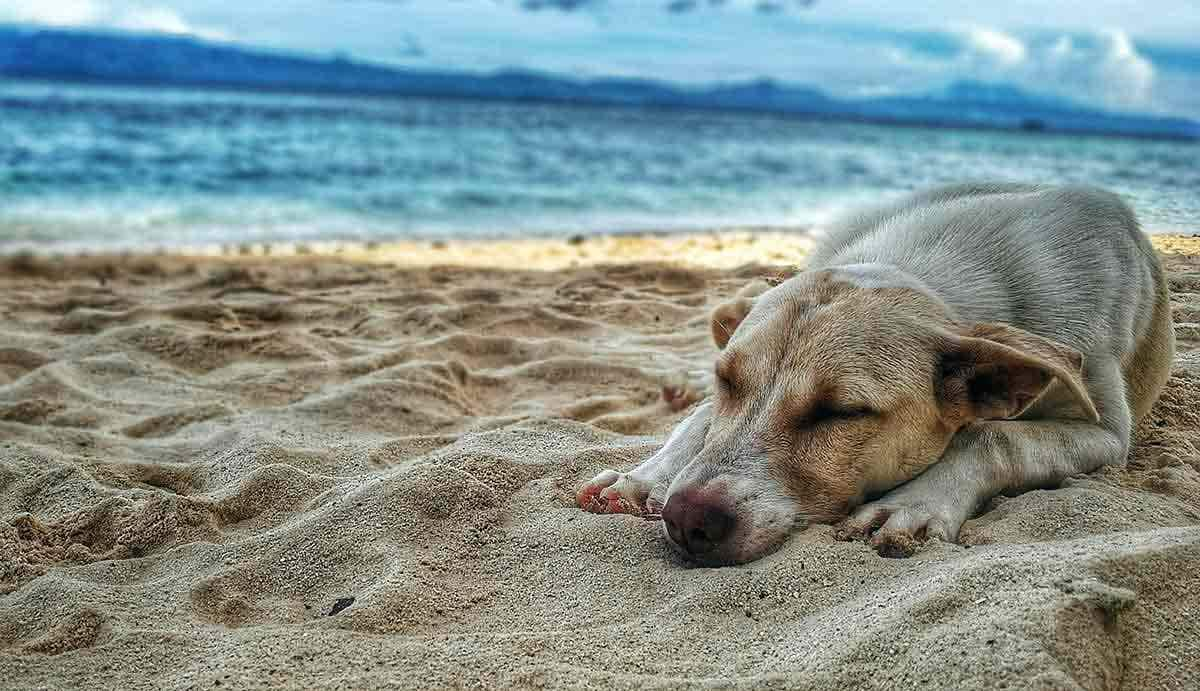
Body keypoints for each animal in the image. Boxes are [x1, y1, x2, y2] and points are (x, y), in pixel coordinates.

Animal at [576, 181, 1176, 563]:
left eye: (841, 412)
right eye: (727, 381)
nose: (685, 519)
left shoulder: (1106, 432)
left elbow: (994, 434)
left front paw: (913, 503)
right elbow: (703, 418)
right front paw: (652, 473)